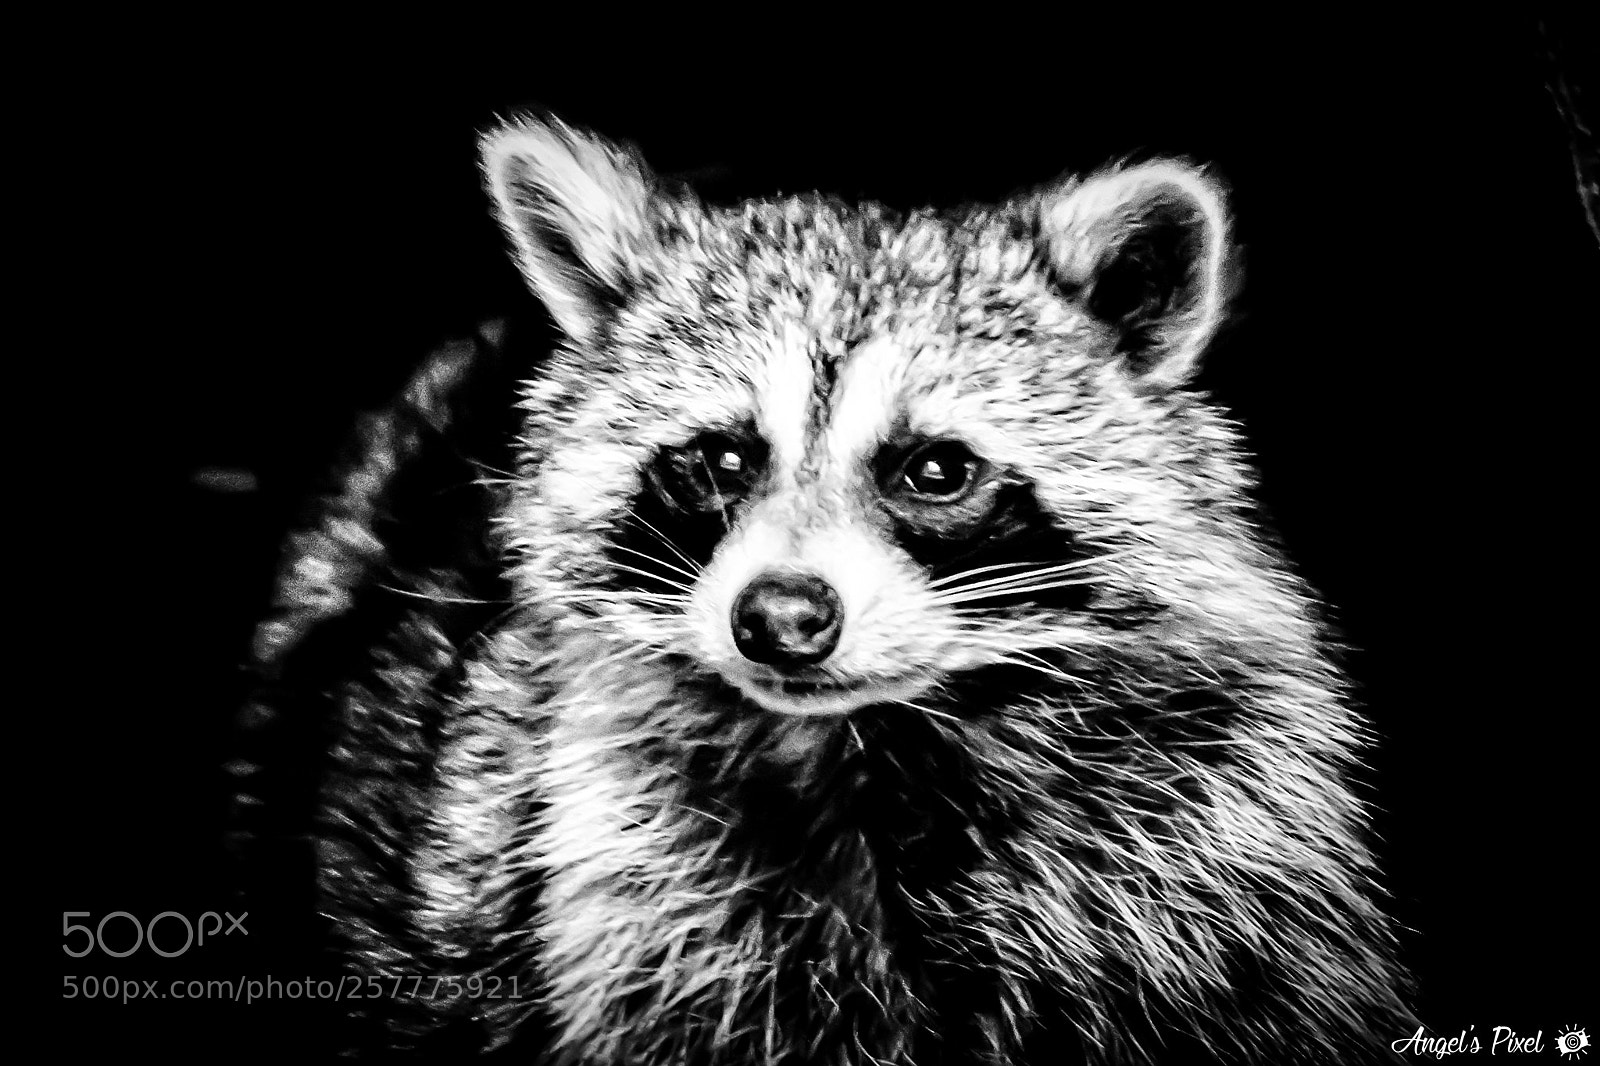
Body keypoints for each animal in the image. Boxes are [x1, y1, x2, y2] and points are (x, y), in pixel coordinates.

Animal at [281, 117, 1414, 1064]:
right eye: (723, 459)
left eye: (934, 470)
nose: (780, 620)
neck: (885, 739)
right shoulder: (641, 893)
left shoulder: (1197, 858)